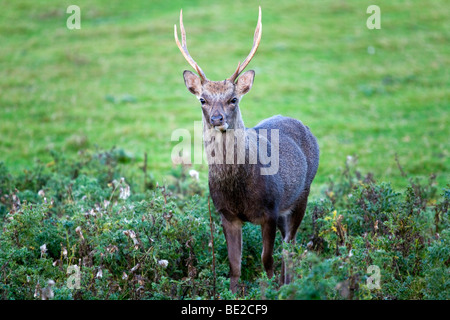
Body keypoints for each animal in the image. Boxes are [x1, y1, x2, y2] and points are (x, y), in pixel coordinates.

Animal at [174, 6, 318, 292]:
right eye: (202, 99)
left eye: (233, 99)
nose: (217, 119)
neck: (239, 190)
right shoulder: (226, 214)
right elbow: (234, 264)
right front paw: (232, 293)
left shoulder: (270, 209)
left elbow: (266, 259)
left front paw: (271, 290)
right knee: (289, 244)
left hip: (302, 193)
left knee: (291, 245)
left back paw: (288, 285)